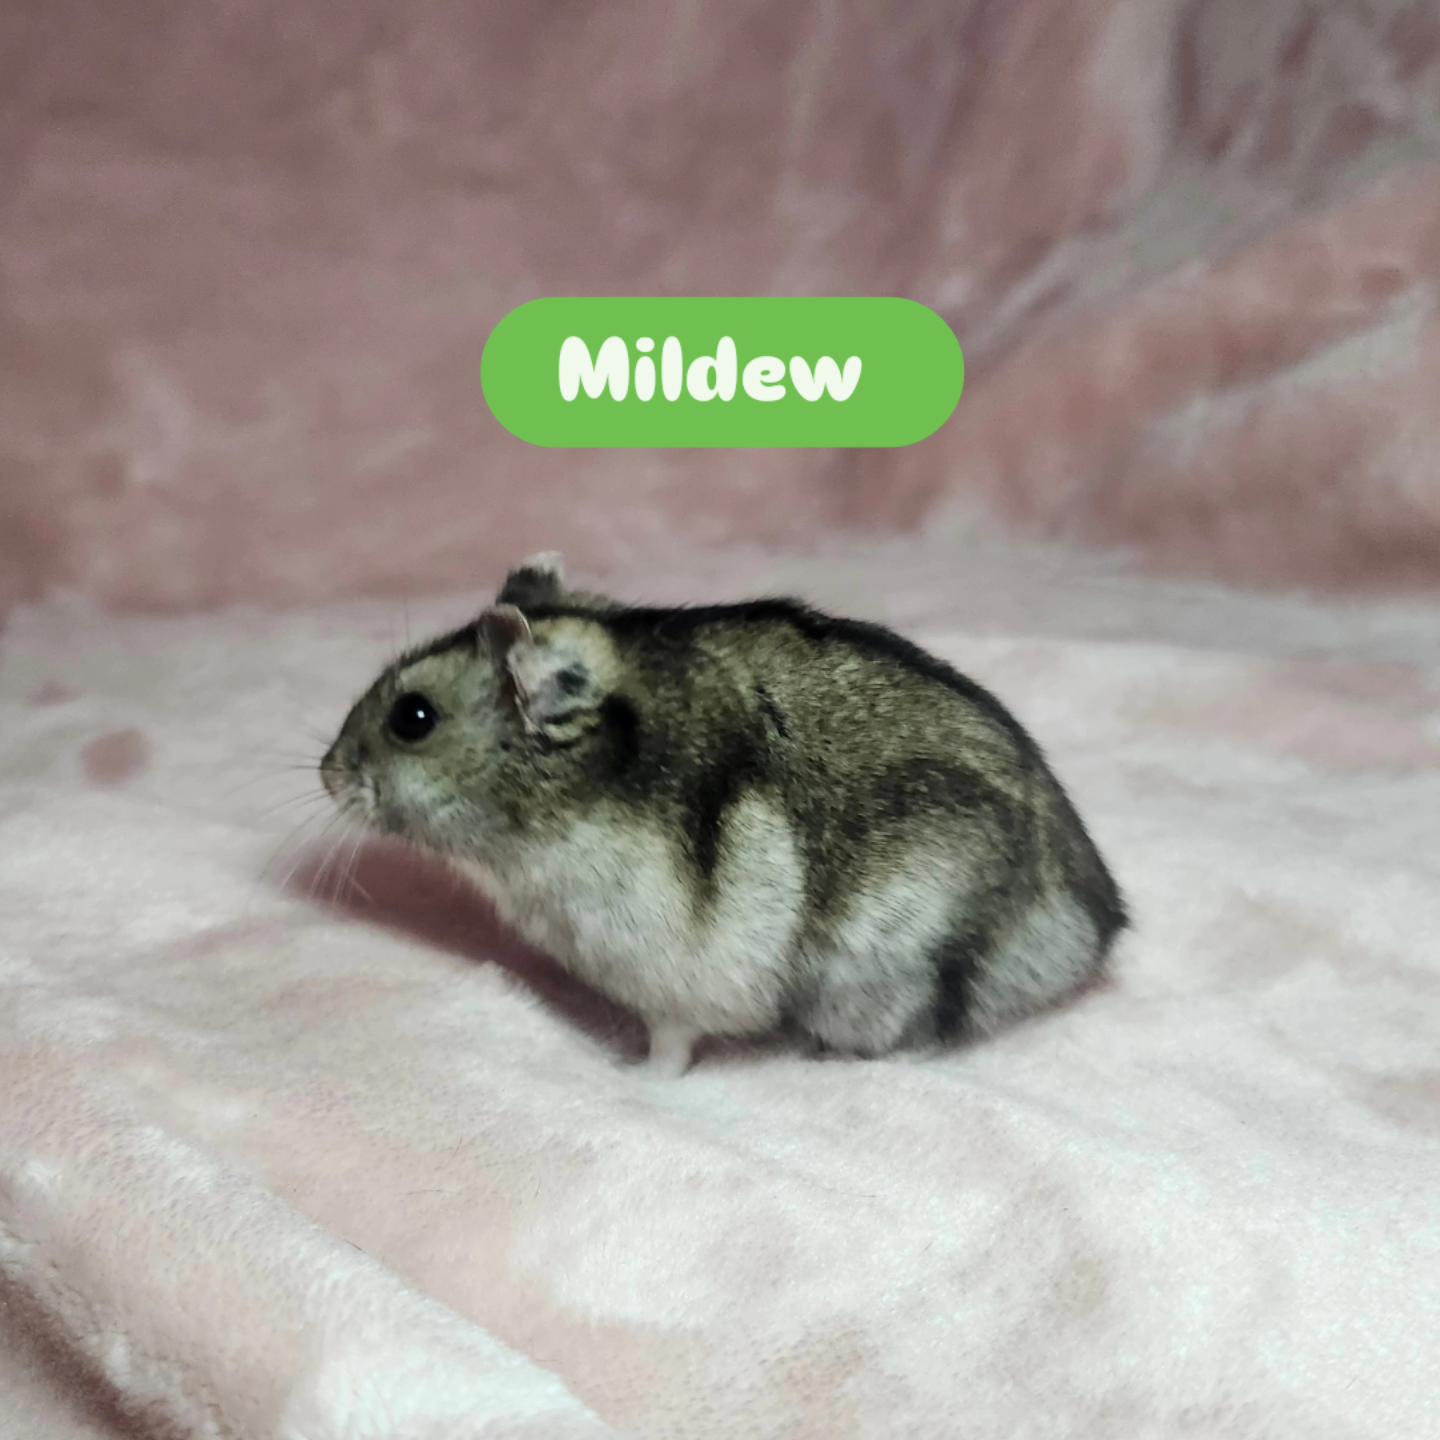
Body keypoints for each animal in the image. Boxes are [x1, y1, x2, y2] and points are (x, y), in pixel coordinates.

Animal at [321, 553, 1126, 1075]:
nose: (327, 776)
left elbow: (669, 1049)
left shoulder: (671, 980)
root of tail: (1097, 933)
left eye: (413, 717)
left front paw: (623, 1072)